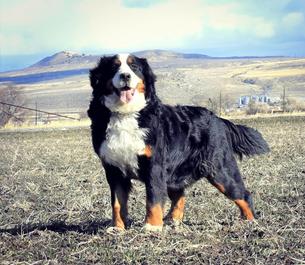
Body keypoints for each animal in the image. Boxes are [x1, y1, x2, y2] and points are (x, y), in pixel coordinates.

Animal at [86, 53, 268, 231]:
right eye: (114, 67)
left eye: (134, 67)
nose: (125, 75)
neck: (126, 114)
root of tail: (217, 118)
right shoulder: (114, 169)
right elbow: (117, 203)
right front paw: (117, 228)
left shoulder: (154, 165)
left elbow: (153, 198)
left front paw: (152, 226)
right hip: (176, 172)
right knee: (180, 196)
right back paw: (172, 220)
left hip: (220, 171)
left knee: (243, 195)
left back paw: (250, 222)